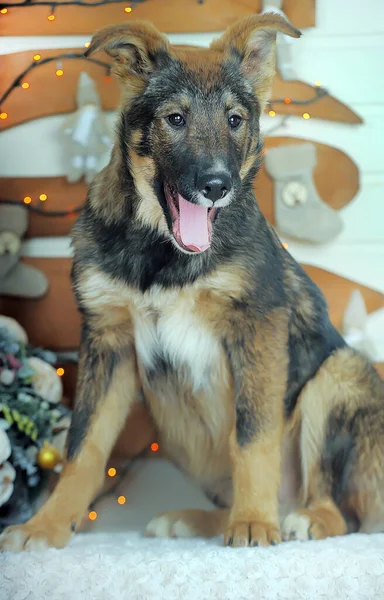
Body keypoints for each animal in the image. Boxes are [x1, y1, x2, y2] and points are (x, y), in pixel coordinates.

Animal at [1, 14, 382, 552]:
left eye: (235, 120)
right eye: (176, 119)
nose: (217, 185)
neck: (162, 253)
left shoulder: (257, 324)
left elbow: (253, 435)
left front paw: (254, 523)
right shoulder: (107, 339)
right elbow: (83, 446)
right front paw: (47, 526)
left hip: (340, 373)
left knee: (343, 512)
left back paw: (295, 519)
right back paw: (200, 520)